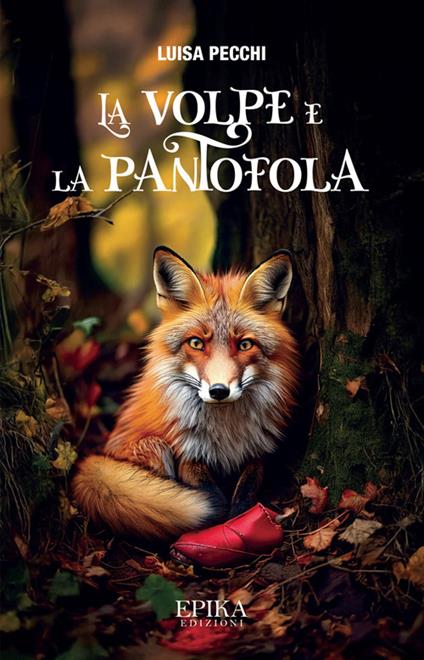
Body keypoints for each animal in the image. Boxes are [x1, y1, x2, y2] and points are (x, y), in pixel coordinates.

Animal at [72, 246, 299, 542]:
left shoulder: (256, 452)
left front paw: (242, 523)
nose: (218, 391)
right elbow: (211, 496)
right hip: (154, 447)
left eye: (245, 344)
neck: (227, 431)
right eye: (196, 343)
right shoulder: (187, 452)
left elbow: (245, 494)